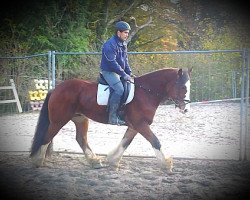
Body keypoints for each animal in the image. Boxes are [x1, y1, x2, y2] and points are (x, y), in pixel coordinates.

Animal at [30, 67, 192, 172]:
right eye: (183, 87)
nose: (186, 109)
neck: (146, 92)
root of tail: (56, 89)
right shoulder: (141, 124)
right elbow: (155, 141)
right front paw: (166, 164)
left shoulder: (135, 126)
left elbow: (125, 142)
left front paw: (113, 161)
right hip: (58, 120)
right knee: (47, 137)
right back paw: (38, 161)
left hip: (80, 119)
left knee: (81, 139)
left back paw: (94, 161)